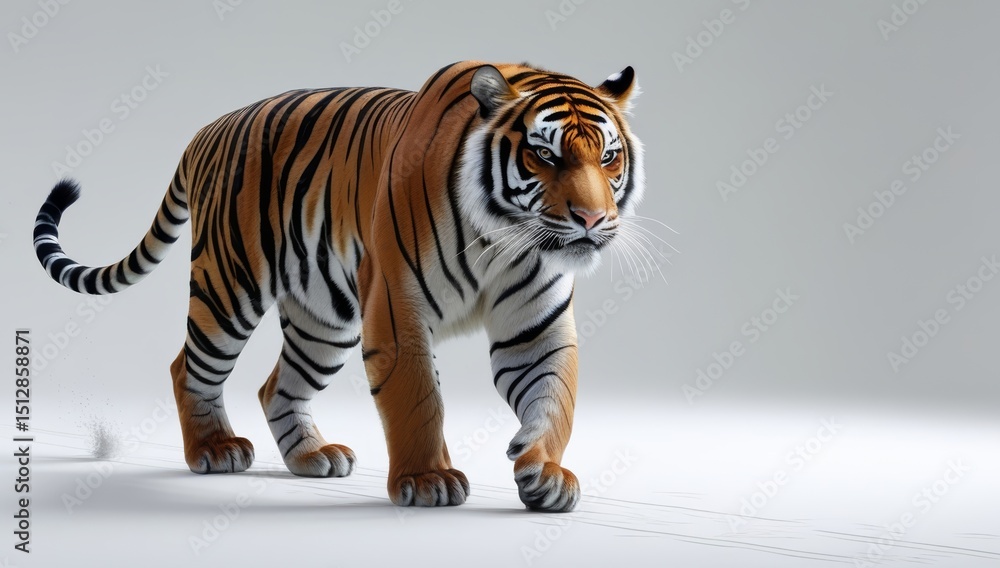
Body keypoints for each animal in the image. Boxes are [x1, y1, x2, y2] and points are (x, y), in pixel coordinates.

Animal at [32, 60, 644, 512]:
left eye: (608, 156)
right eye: (543, 154)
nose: (592, 219)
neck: (503, 240)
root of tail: (209, 129)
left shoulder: (535, 329)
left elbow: (555, 399)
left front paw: (545, 472)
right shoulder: (397, 314)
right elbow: (418, 399)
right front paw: (428, 480)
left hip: (323, 320)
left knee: (276, 387)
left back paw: (311, 457)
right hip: (228, 288)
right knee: (189, 367)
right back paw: (214, 448)